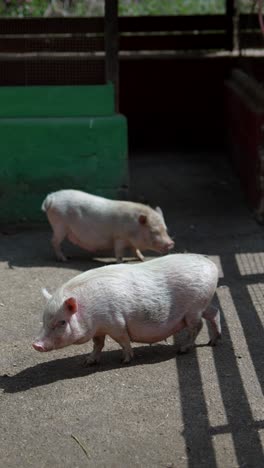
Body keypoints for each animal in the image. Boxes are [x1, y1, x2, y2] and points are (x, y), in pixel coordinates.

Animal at [33, 252, 223, 366]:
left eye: (62, 322)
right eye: (44, 320)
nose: (36, 344)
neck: (89, 311)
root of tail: (212, 266)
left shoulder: (116, 323)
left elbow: (123, 340)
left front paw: (124, 360)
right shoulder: (99, 329)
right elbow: (98, 344)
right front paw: (89, 361)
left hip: (194, 308)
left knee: (197, 326)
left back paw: (183, 350)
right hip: (203, 304)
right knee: (214, 312)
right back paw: (213, 342)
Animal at [41, 190, 174, 264]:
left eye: (165, 229)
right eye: (153, 231)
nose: (171, 243)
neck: (133, 228)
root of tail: (50, 198)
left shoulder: (130, 242)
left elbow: (135, 250)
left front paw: (143, 259)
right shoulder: (119, 237)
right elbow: (119, 251)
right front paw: (120, 262)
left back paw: (68, 256)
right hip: (59, 225)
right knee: (54, 241)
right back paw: (64, 259)